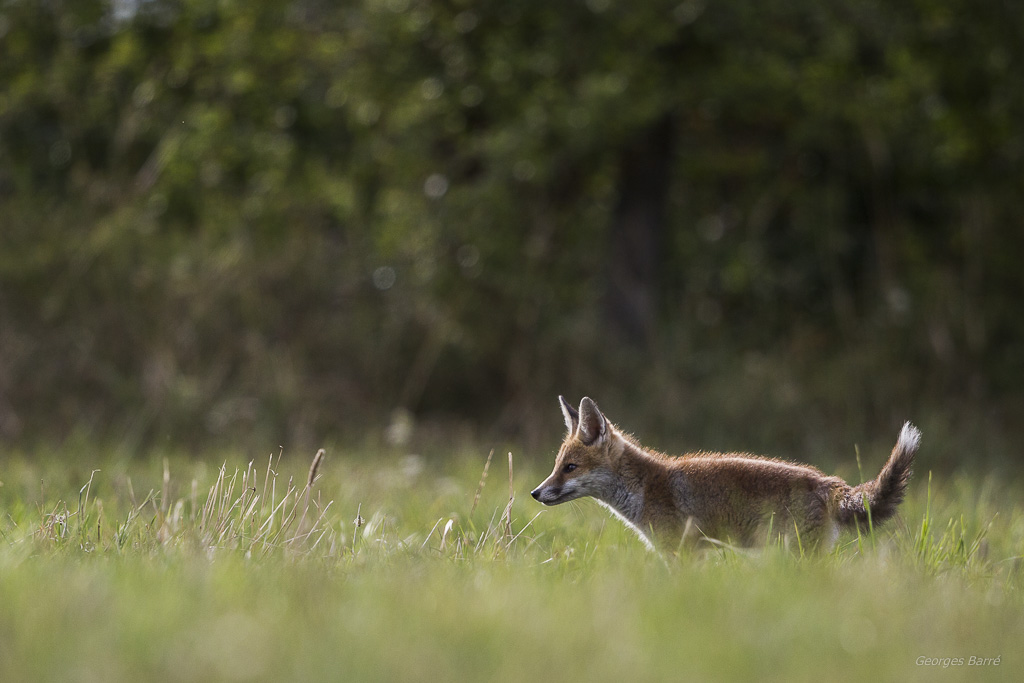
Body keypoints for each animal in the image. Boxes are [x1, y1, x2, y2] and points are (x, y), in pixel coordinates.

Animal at [531, 396, 921, 553]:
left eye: (570, 468)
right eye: (556, 467)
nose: (535, 493)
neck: (644, 488)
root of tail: (829, 483)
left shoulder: (682, 554)